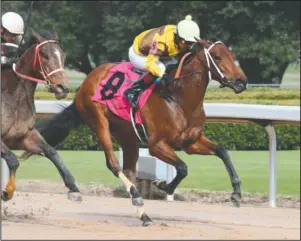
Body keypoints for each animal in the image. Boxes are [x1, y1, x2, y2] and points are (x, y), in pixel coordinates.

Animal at [0, 31, 81, 202]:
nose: (63, 88)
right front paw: (7, 191)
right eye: (45, 55)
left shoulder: (22, 137)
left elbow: (52, 152)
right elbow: (13, 160)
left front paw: (73, 187)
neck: (13, 98)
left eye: (62, 55)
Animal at [25, 39, 246, 226]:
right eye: (217, 57)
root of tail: (89, 79)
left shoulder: (190, 142)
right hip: (99, 122)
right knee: (113, 164)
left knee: (130, 171)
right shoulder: (157, 144)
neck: (179, 99)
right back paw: (138, 200)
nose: (241, 82)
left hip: (129, 138)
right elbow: (183, 168)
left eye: (232, 54)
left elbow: (223, 151)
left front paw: (236, 193)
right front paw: (165, 186)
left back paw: (143, 212)